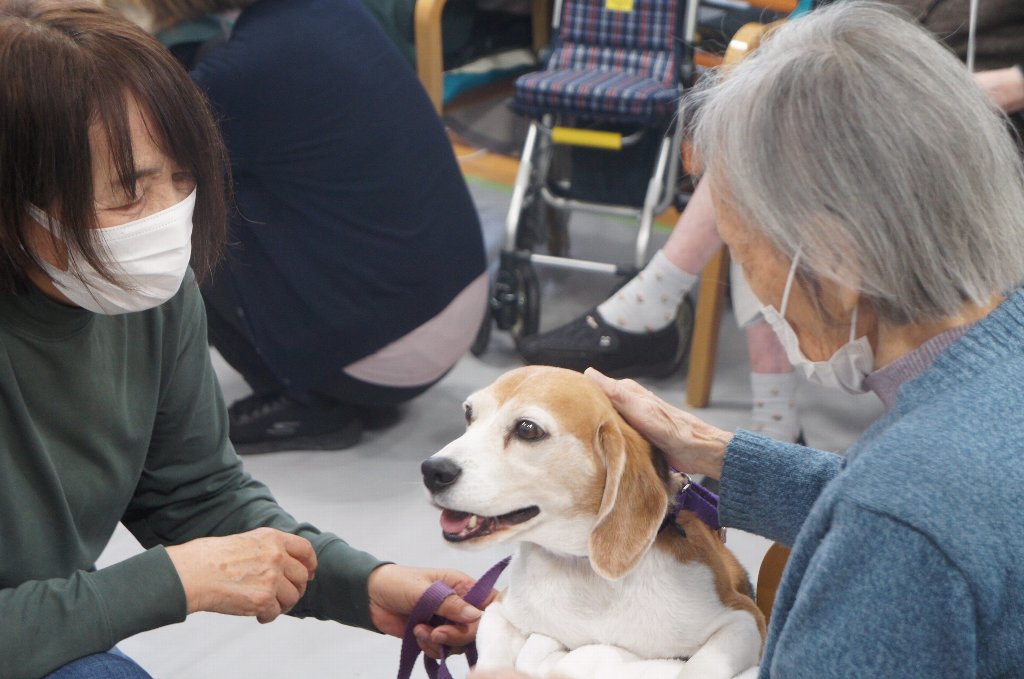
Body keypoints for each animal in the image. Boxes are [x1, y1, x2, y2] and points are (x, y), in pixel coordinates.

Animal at [419, 368, 765, 675]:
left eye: (528, 429)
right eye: (468, 414)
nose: (432, 470)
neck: (583, 567)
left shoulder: (744, 620)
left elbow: (697, 668)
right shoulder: (499, 613)